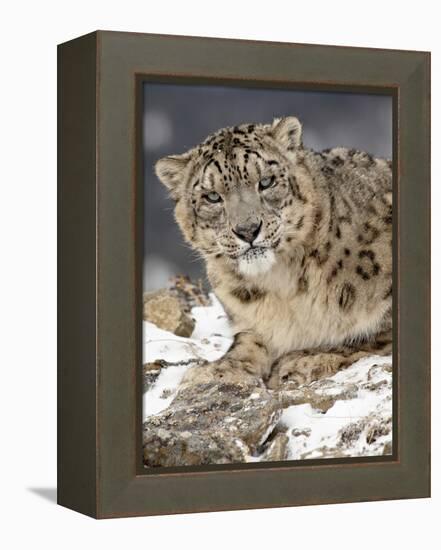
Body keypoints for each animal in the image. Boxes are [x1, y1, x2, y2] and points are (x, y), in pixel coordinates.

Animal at [155, 118, 392, 390]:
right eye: (212, 196)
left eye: (266, 181)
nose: (247, 230)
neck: (283, 286)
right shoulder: (251, 324)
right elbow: (245, 344)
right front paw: (215, 370)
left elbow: (368, 337)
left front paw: (303, 360)